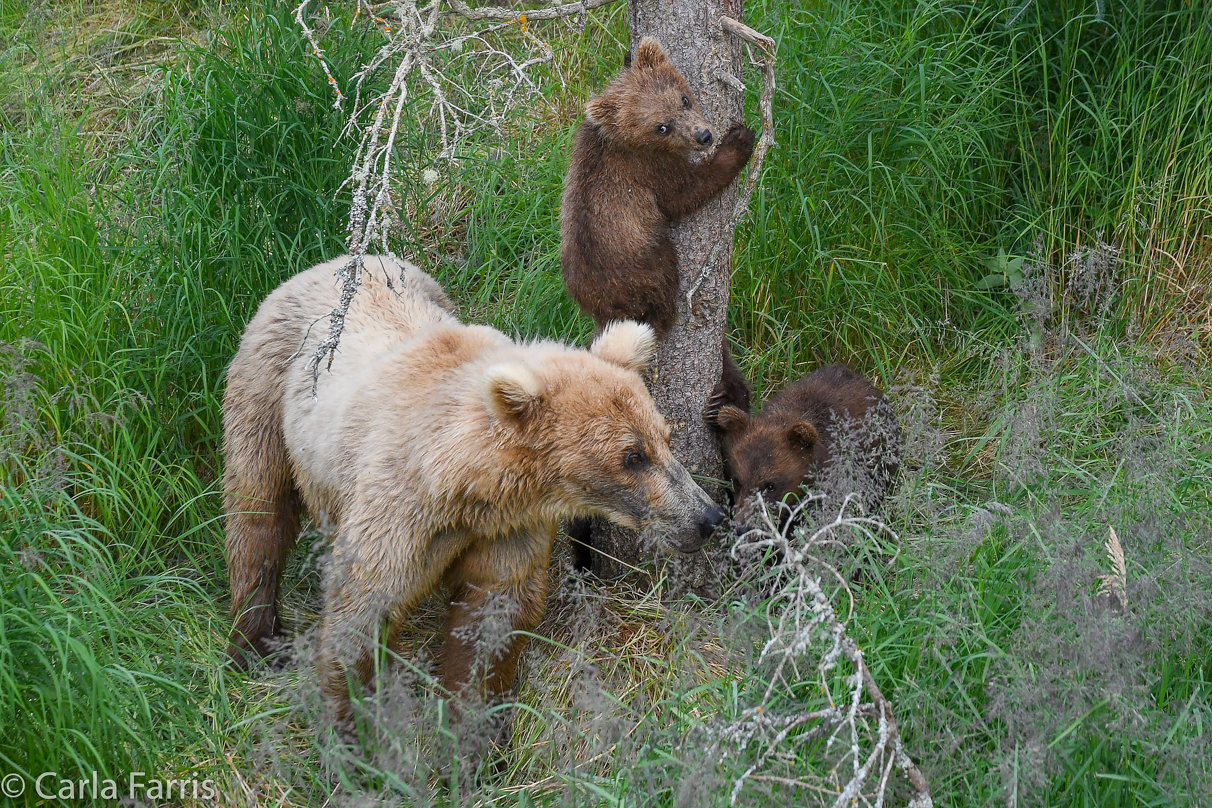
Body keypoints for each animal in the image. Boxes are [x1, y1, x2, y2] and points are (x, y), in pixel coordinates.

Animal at [223, 255, 722, 721]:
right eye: (632, 456)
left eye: (665, 438)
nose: (708, 517)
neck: (464, 486)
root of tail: (335, 261)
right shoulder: (398, 512)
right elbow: (364, 606)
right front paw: (353, 724)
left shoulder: (506, 529)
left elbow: (491, 618)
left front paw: (469, 728)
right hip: (267, 385)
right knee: (257, 508)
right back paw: (255, 640)